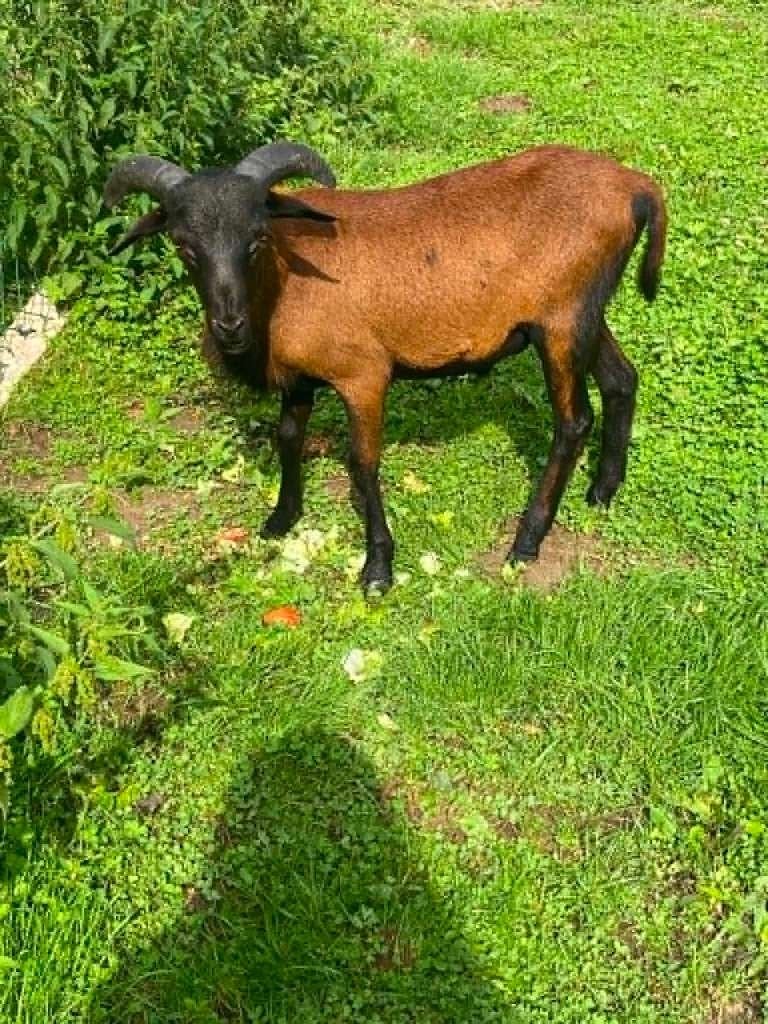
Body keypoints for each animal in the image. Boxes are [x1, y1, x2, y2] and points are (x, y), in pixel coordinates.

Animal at [104, 141, 667, 594]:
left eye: (257, 238)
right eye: (183, 245)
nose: (228, 326)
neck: (286, 282)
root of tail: (637, 186)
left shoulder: (364, 375)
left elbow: (362, 462)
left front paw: (377, 567)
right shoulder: (300, 377)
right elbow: (288, 438)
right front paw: (280, 519)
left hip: (562, 321)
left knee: (573, 422)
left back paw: (527, 541)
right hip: (586, 313)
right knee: (621, 380)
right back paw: (604, 490)